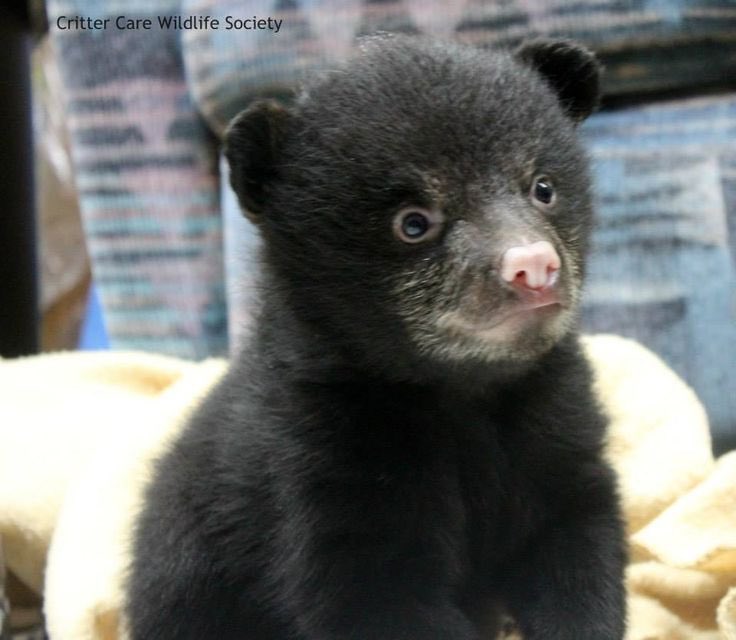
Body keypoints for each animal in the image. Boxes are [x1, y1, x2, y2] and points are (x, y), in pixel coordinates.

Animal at [125, 35, 627, 640]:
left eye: (543, 187)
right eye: (413, 223)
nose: (533, 267)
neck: (463, 390)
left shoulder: (554, 425)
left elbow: (577, 544)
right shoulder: (328, 457)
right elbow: (376, 595)